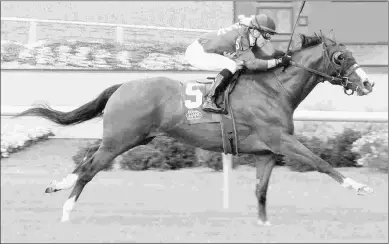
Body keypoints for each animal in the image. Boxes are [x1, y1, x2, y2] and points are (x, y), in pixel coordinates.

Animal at [16, 33, 374, 225]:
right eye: (340, 57)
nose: (369, 83)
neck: (274, 89)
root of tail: (123, 85)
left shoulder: (266, 152)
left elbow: (260, 190)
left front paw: (264, 225)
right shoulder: (282, 140)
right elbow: (321, 162)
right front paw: (360, 187)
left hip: (130, 137)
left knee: (88, 155)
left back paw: (57, 185)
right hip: (122, 139)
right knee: (90, 168)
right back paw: (66, 211)